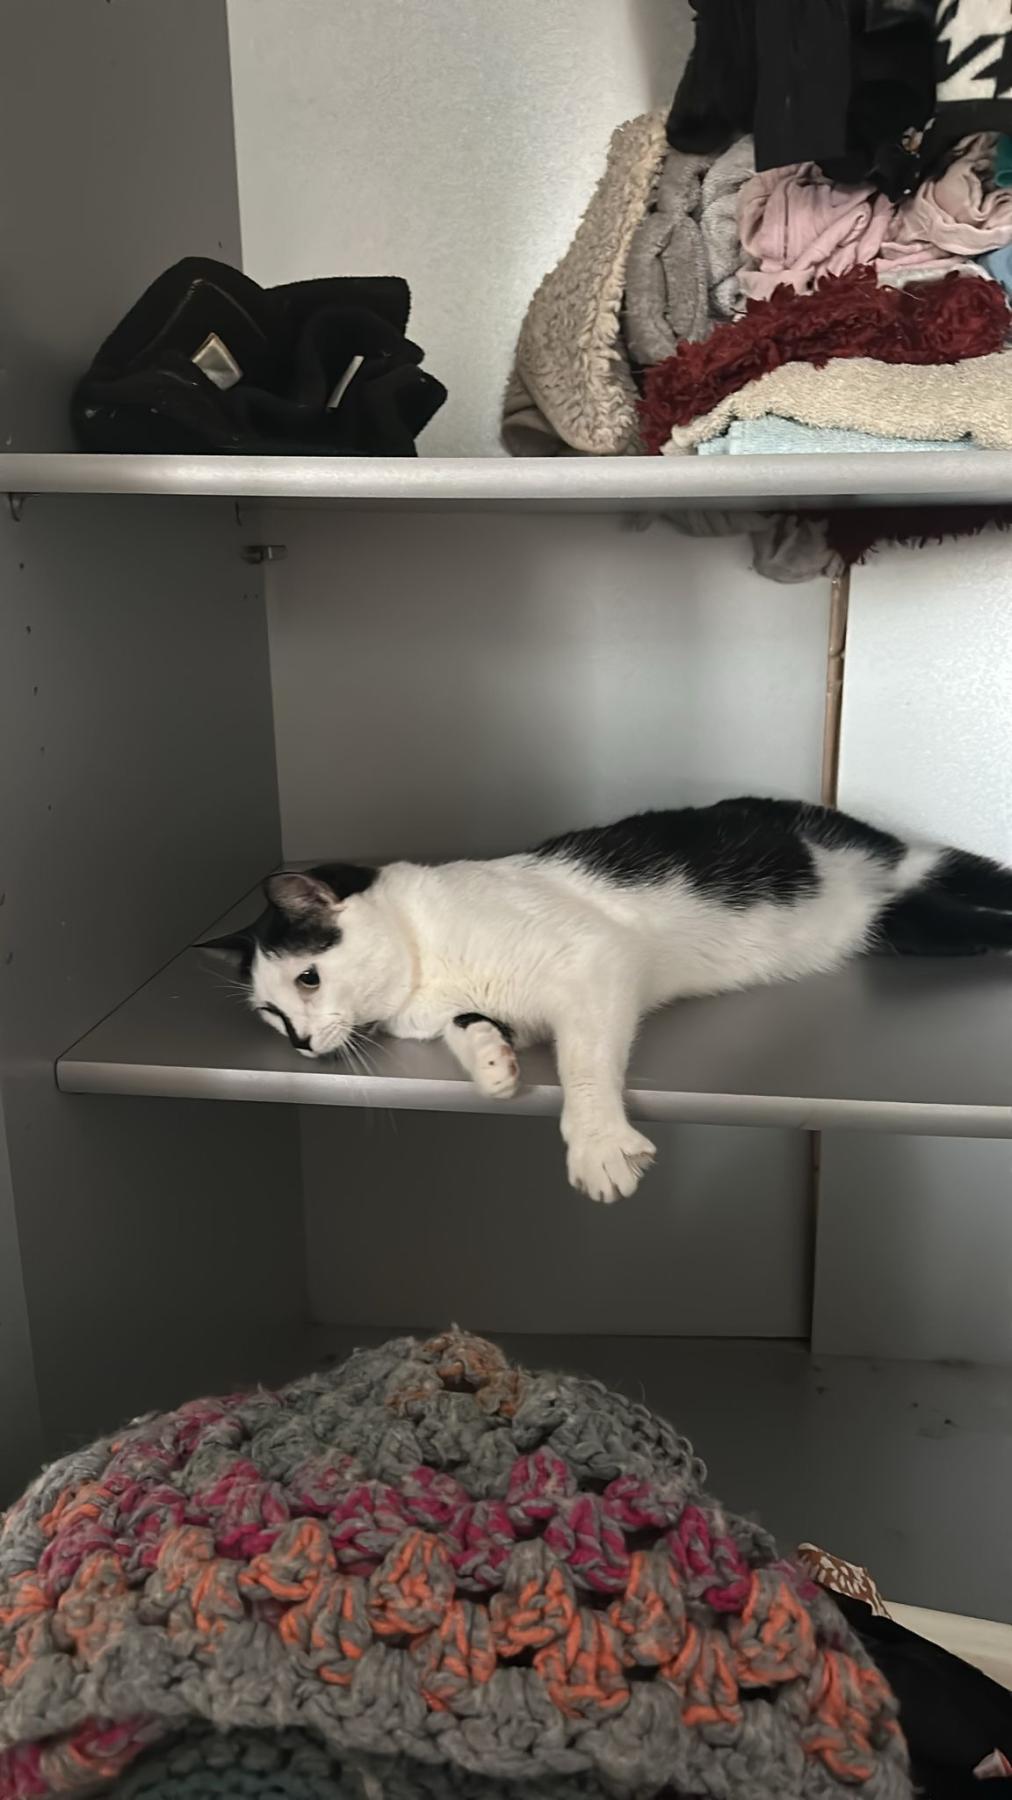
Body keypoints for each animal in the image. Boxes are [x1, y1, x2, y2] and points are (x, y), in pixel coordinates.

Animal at [206, 797, 1012, 1203]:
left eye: (308, 979)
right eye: (270, 1014)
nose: (298, 1043)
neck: (425, 961)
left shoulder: (595, 962)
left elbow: (585, 1065)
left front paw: (596, 1143)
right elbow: (472, 1028)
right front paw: (491, 1062)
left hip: (911, 876)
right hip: (911, 925)